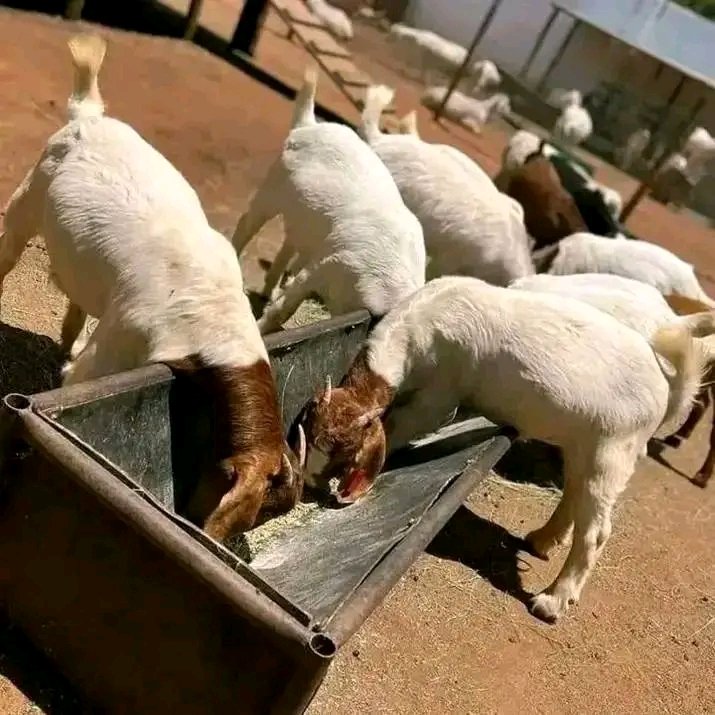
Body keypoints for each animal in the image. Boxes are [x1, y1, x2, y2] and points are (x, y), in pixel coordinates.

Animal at [0, 34, 305, 542]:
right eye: (252, 511)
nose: (209, 533)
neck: (212, 325)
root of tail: (88, 115)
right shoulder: (123, 338)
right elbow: (79, 378)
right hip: (29, 195)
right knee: (8, 249)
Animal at [231, 69, 425, 333]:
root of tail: (308, 125)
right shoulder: (331, 264)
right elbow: (285, 308)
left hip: (300, 217)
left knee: (289, 242)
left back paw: (268, 292)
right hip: (272, 187)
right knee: (247, 222)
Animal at [298, 275, 704, 622]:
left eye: (344, 454)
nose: (311, 485)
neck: (420, 326)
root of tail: (666, 390)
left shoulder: (441, 394)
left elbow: (406, 424)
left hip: (614, 451)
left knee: (596, 531)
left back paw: (552, 601)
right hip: (584, 446)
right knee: (574, 492)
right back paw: (541, 540)